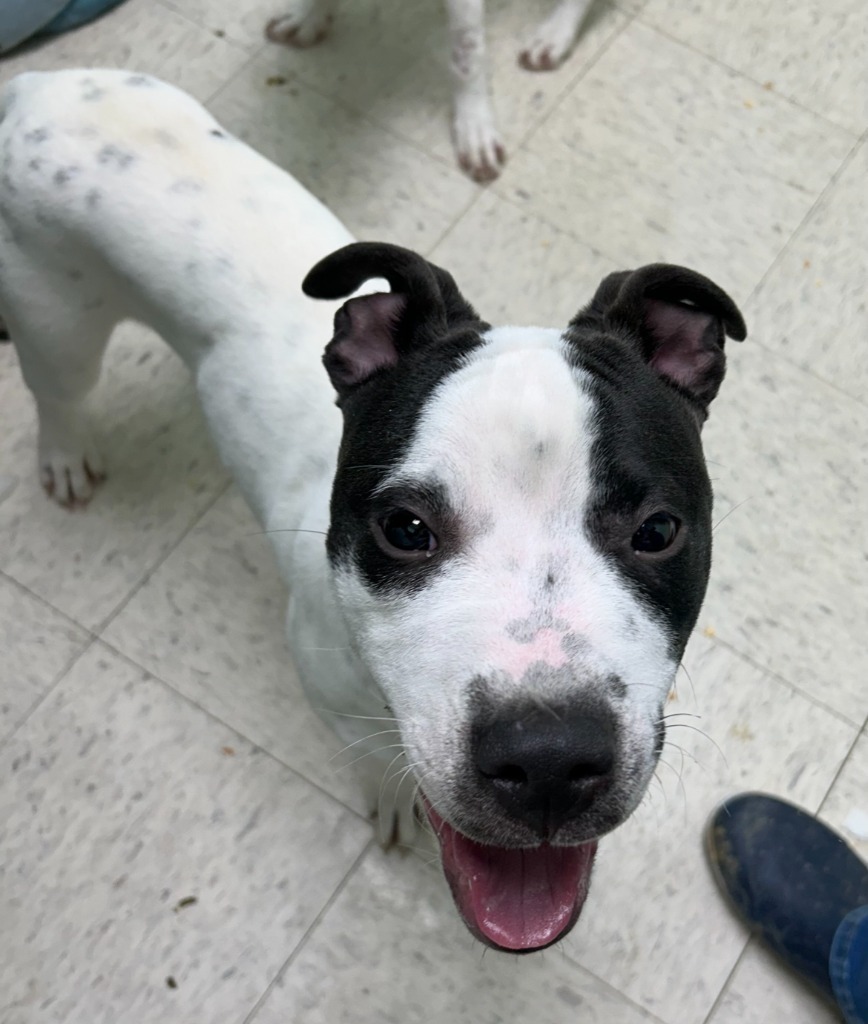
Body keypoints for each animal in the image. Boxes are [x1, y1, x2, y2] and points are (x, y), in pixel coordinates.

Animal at [0, 70, 745, 950]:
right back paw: (64, 455)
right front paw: (391, 801)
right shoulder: (330, 695)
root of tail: (40, 84)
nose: (549, 761)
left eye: (658, 531)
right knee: (58, 393)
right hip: (55, 322)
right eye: (405, 530)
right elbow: (374, 762)